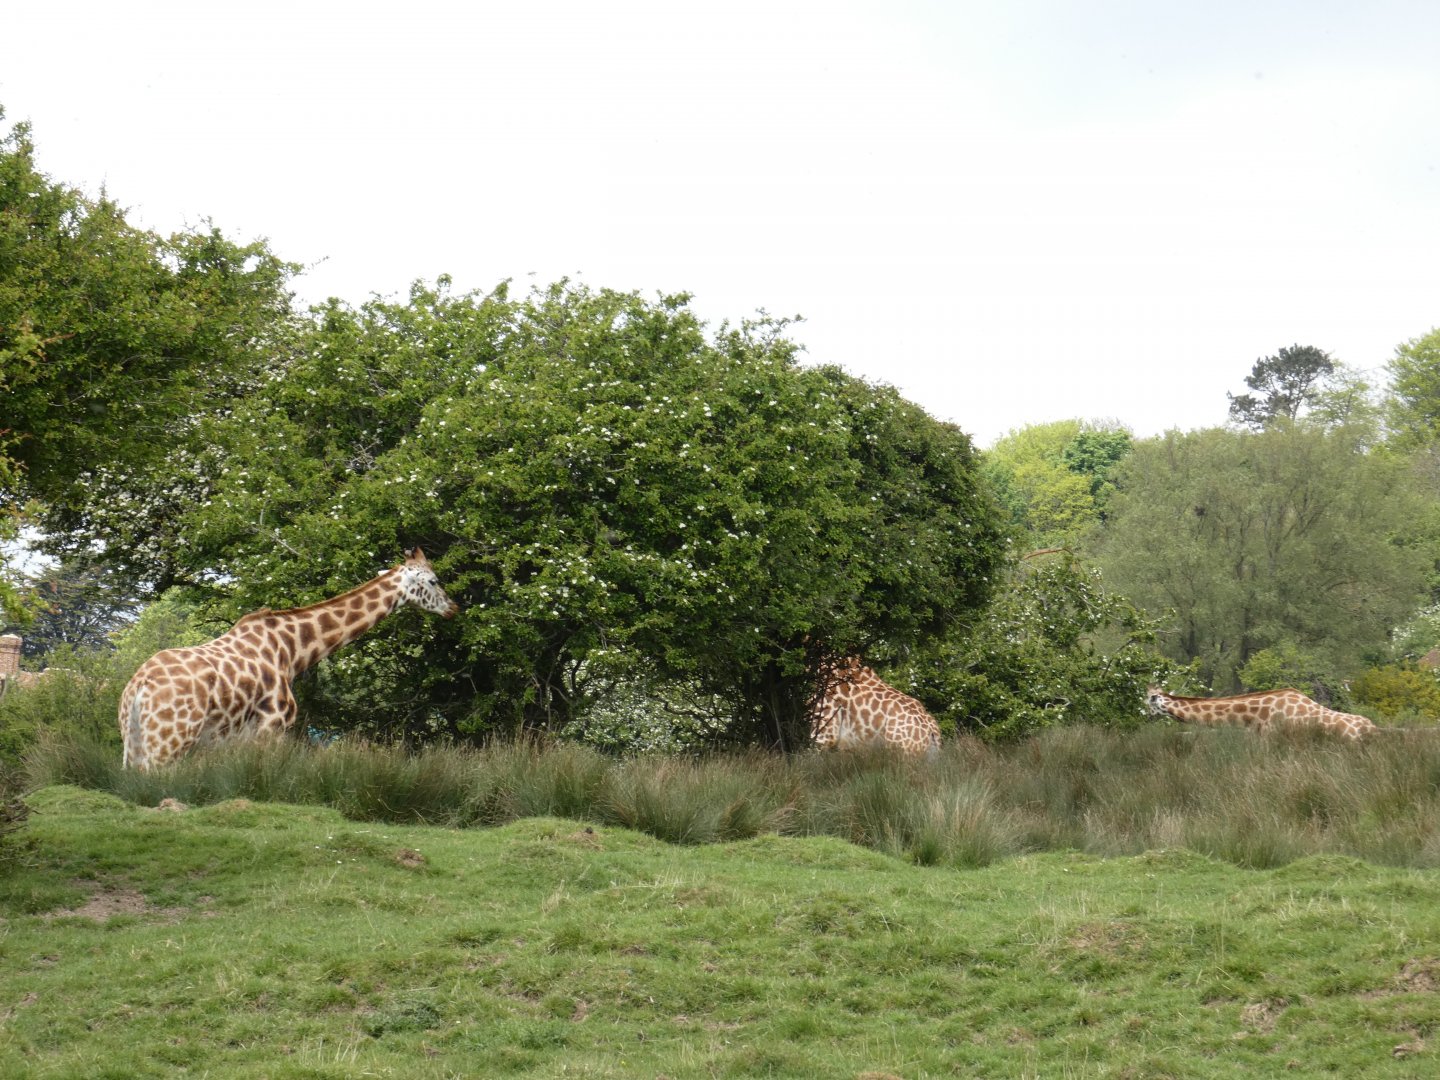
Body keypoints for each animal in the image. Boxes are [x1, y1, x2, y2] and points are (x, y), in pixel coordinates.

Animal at [119, 549, 459, 769]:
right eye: (433, 581)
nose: (453, 608)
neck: (292, 650)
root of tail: (139, 687)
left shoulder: (235, 739)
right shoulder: (272, 727)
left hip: (133, 742)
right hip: (169, 741)